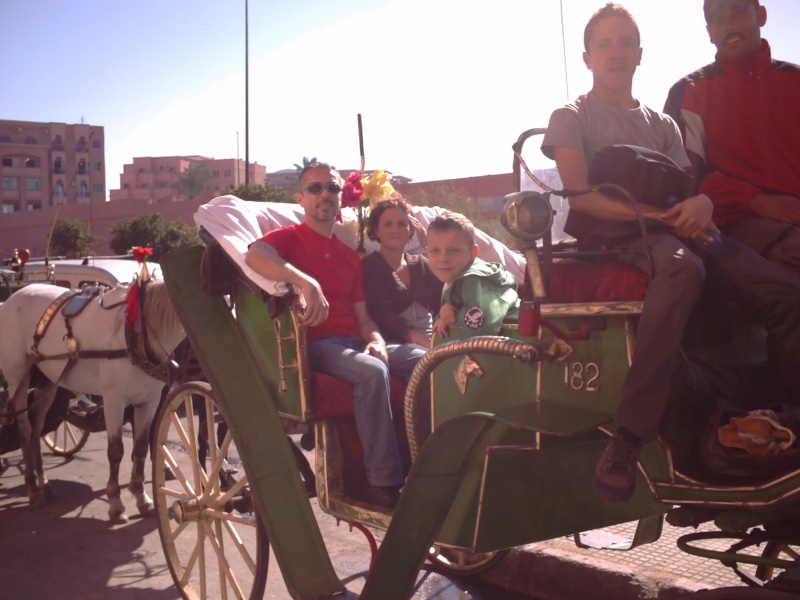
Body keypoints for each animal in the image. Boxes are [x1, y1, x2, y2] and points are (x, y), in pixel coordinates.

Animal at [0, 280, 183, 520]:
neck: (137, 332)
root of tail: (12, 298)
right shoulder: (114, 399)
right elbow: (116, 451)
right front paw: (115, 503)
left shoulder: (148, 401)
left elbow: (141, 448)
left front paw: (142, 499)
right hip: (17, 379)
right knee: (23, 429)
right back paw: (32, 489)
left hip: (47, 382)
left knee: (36, 429)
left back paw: (45, 485)